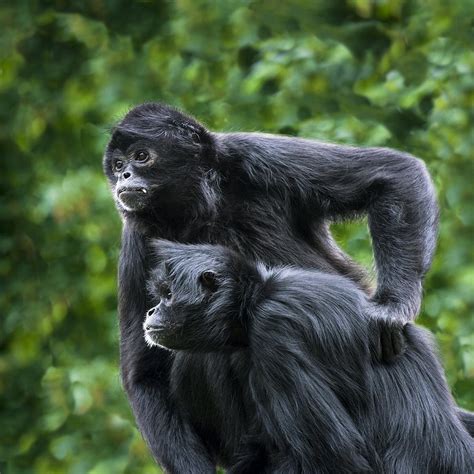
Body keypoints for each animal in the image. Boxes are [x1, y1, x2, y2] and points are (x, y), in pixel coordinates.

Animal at [102, 103, 472, 470]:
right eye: (118, 165)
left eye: (141, 156)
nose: (124, 177)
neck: (199, 208)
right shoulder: (138, 238)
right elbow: (145, 375)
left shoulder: (250, 155)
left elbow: (393, 174)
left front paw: (392, 308)